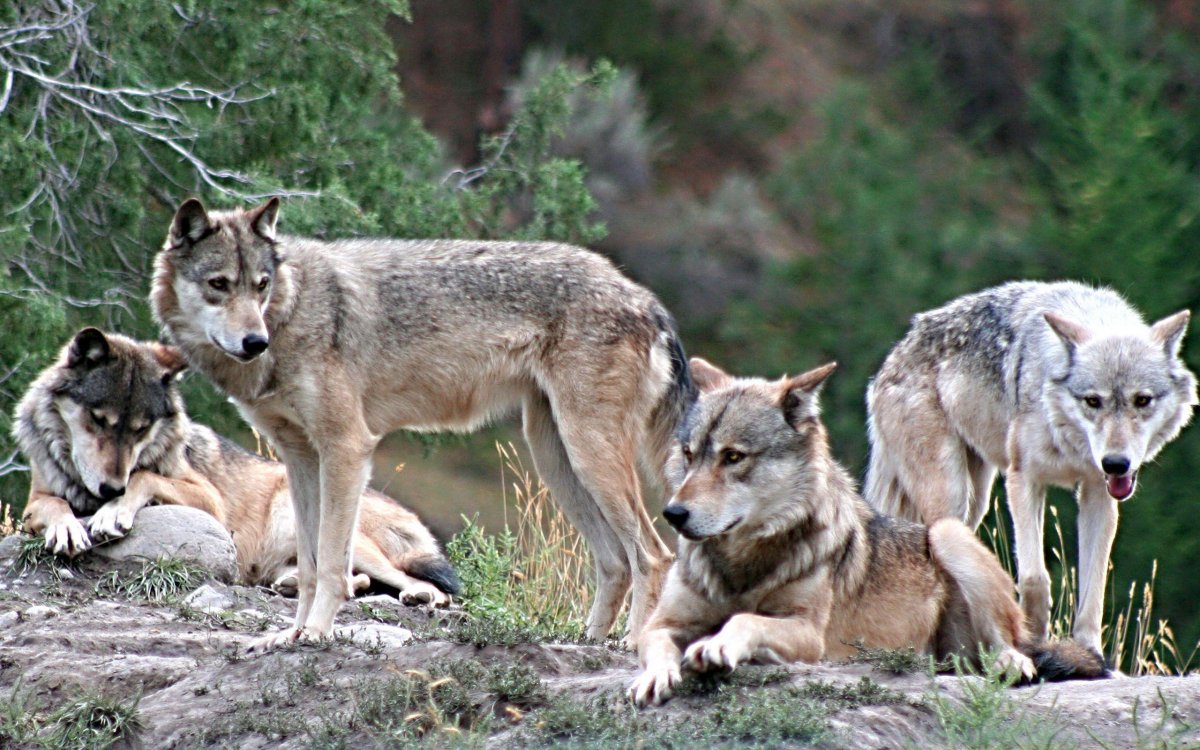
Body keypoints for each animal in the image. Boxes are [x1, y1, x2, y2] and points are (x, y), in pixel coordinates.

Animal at [15, 328, 459, 605]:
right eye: (99, 420)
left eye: (141, 429)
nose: (110, 489)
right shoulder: (35, 500)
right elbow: (54, 506)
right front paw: (67, 527)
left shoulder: (208, 499)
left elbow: (143, 475)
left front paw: (112, 513)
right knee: (347, 580)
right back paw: (291, 583)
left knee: (422, 585)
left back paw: (418, 595)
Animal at [151, 197, 692, 649]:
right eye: (219, 284)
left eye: (261, 286)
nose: (254, 342)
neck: (294, 311)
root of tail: (646, 298)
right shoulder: (300, 458)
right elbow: (307, 566)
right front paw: (290, 635)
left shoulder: (347, 448)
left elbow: (331, 565)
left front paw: (317, 634)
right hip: (556, 458)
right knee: (615, 561)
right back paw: (588, 641)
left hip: (588, 454)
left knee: (654, 555)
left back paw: (632, 644)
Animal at [629, 358, 1106, 707]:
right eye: (689, 455)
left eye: (732, 457)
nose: (674, 513)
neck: (741, 566)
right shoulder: (663, 622)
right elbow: (654, 645)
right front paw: (654, 676)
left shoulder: (808, 634)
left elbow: (744, 619)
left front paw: (717, 647)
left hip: (947, 533)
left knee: (1013, 645)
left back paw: (1011, 664)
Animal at [865, 281, 1196, 655]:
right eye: (1093, 401)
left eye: (1142, 400)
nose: (1115, 463)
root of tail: (891, 359)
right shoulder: (1023, 480)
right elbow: (1034, 577)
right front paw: (1033, 640)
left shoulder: (1097, 492)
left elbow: (1093, 586)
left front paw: (1090, 653)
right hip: (951, 495)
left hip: (975, 501)